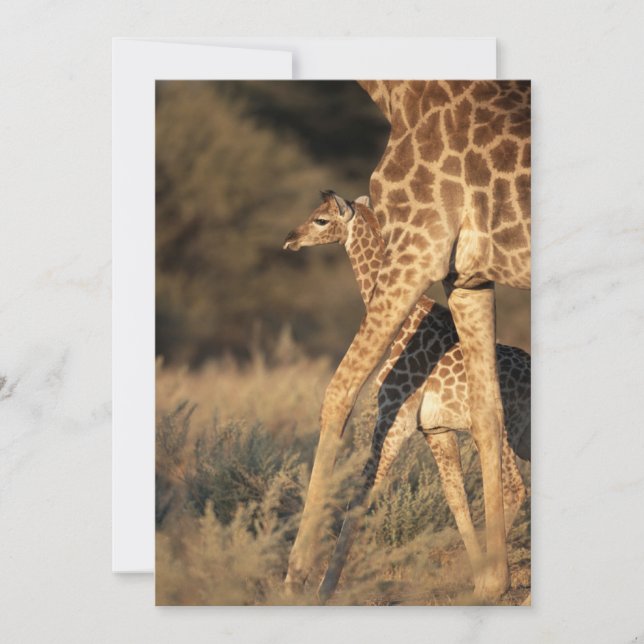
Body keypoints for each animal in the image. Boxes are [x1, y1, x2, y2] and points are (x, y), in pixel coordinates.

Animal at [284, 81, 531, 602]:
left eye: (321, 220)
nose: (289, 238)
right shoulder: (434, 429)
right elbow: (455, 499)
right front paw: (478, 575)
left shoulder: (394, 415)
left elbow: (363, 488)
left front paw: (316, 584)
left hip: (518, 434)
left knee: (518, 486)